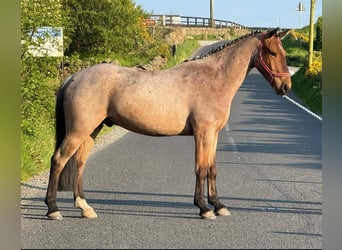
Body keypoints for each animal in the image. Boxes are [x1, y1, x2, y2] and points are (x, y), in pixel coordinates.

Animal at [44, 27, 292, 220]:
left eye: (284, 52)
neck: (213, 79)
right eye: (272, 52)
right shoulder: (203, 133)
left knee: (79, 164)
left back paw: (85, 208)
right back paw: (53, 209)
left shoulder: (214, 134)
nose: (286, 87)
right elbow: (201, 168)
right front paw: (204, 208)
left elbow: (212, 169)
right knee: (58, 160)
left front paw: (219, 206)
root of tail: (73, 77)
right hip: (78, 131)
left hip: (91, 131)